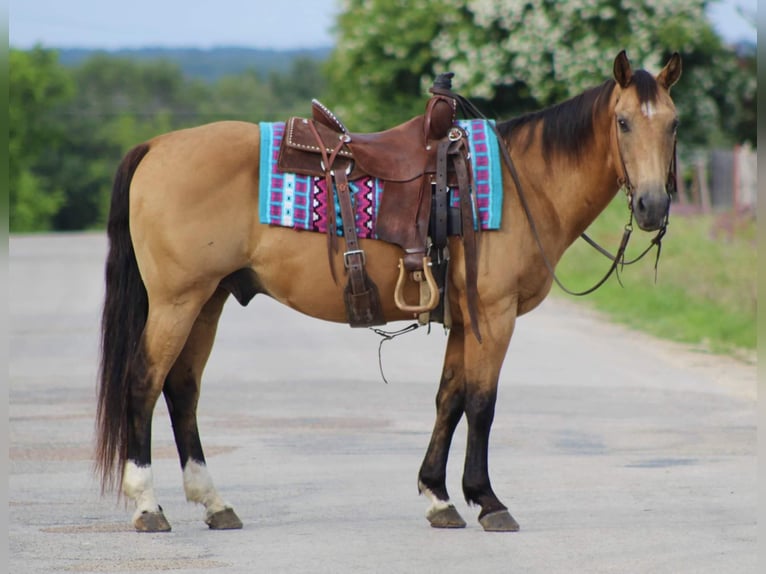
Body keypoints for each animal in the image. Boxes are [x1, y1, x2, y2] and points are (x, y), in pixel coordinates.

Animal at [94, 50, 680, 536]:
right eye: (623, 122)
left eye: (673, 124)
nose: (652, 206)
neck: (522, 185)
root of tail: (157, 146)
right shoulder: (494, 315)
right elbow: (482, 403)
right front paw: (488, 501)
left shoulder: (463, 319)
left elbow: (449, 399)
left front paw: (439, 497)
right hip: (178, 301)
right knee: (144, 383)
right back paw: (148, 505)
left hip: (207, 301)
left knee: (182, 389)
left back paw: (215, 503)